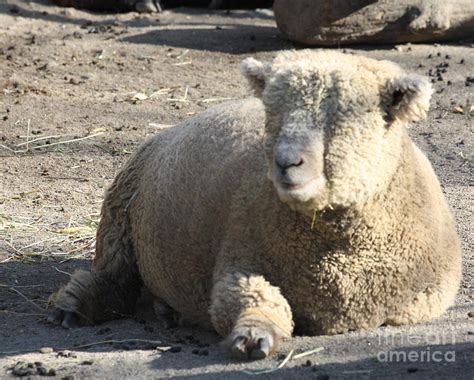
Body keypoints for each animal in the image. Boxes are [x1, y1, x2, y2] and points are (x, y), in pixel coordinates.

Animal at [49, 49, 462, 360]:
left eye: (344, 117)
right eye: (272, 112)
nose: (286, 162)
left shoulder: (422, 299)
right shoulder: (238, 261)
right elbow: (251, 300)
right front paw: (253, 334)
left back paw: (165, 310)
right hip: (118, 215)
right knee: (113, 278)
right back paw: (73, 307)